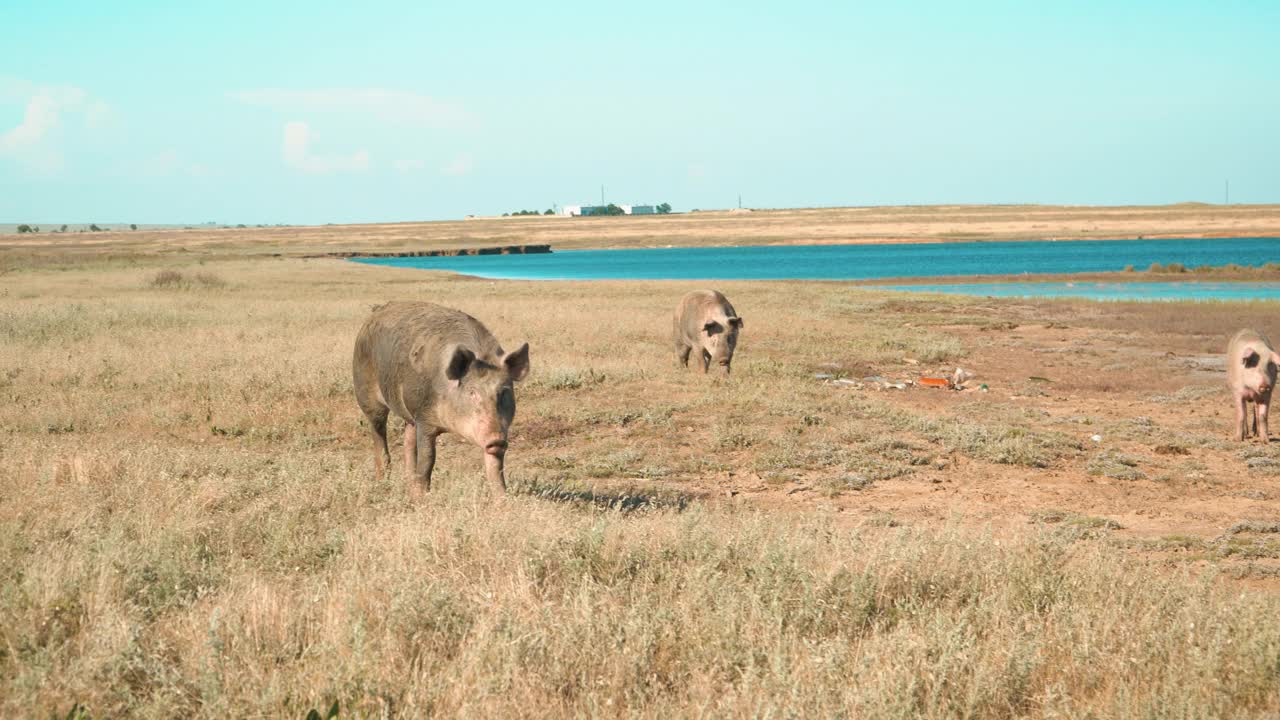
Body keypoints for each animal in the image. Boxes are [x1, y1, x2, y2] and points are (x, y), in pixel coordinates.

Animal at [350, 299, 529, 497]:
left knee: (408, 440)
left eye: (504, 391)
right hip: (366, 393)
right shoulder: (424, 416)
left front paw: (503, 498)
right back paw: (383, 481)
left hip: (410, 416)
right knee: (378, 432)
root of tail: (374, 314)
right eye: (472, 392)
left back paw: (408, 482)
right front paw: (421, 498)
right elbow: (428, 459)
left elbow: (496, 467)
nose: (496, 438)